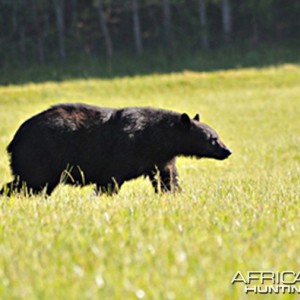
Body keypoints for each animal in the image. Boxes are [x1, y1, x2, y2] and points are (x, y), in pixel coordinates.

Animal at [0, 104, 232, 196]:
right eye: (213, 139)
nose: (227, 151)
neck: (157, 137)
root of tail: (15, 138)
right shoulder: (125, 150)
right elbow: (110, 179)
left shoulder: (160, 157)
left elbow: (167, 176)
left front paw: (174, 193)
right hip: (40, 153)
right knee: (31, 182)